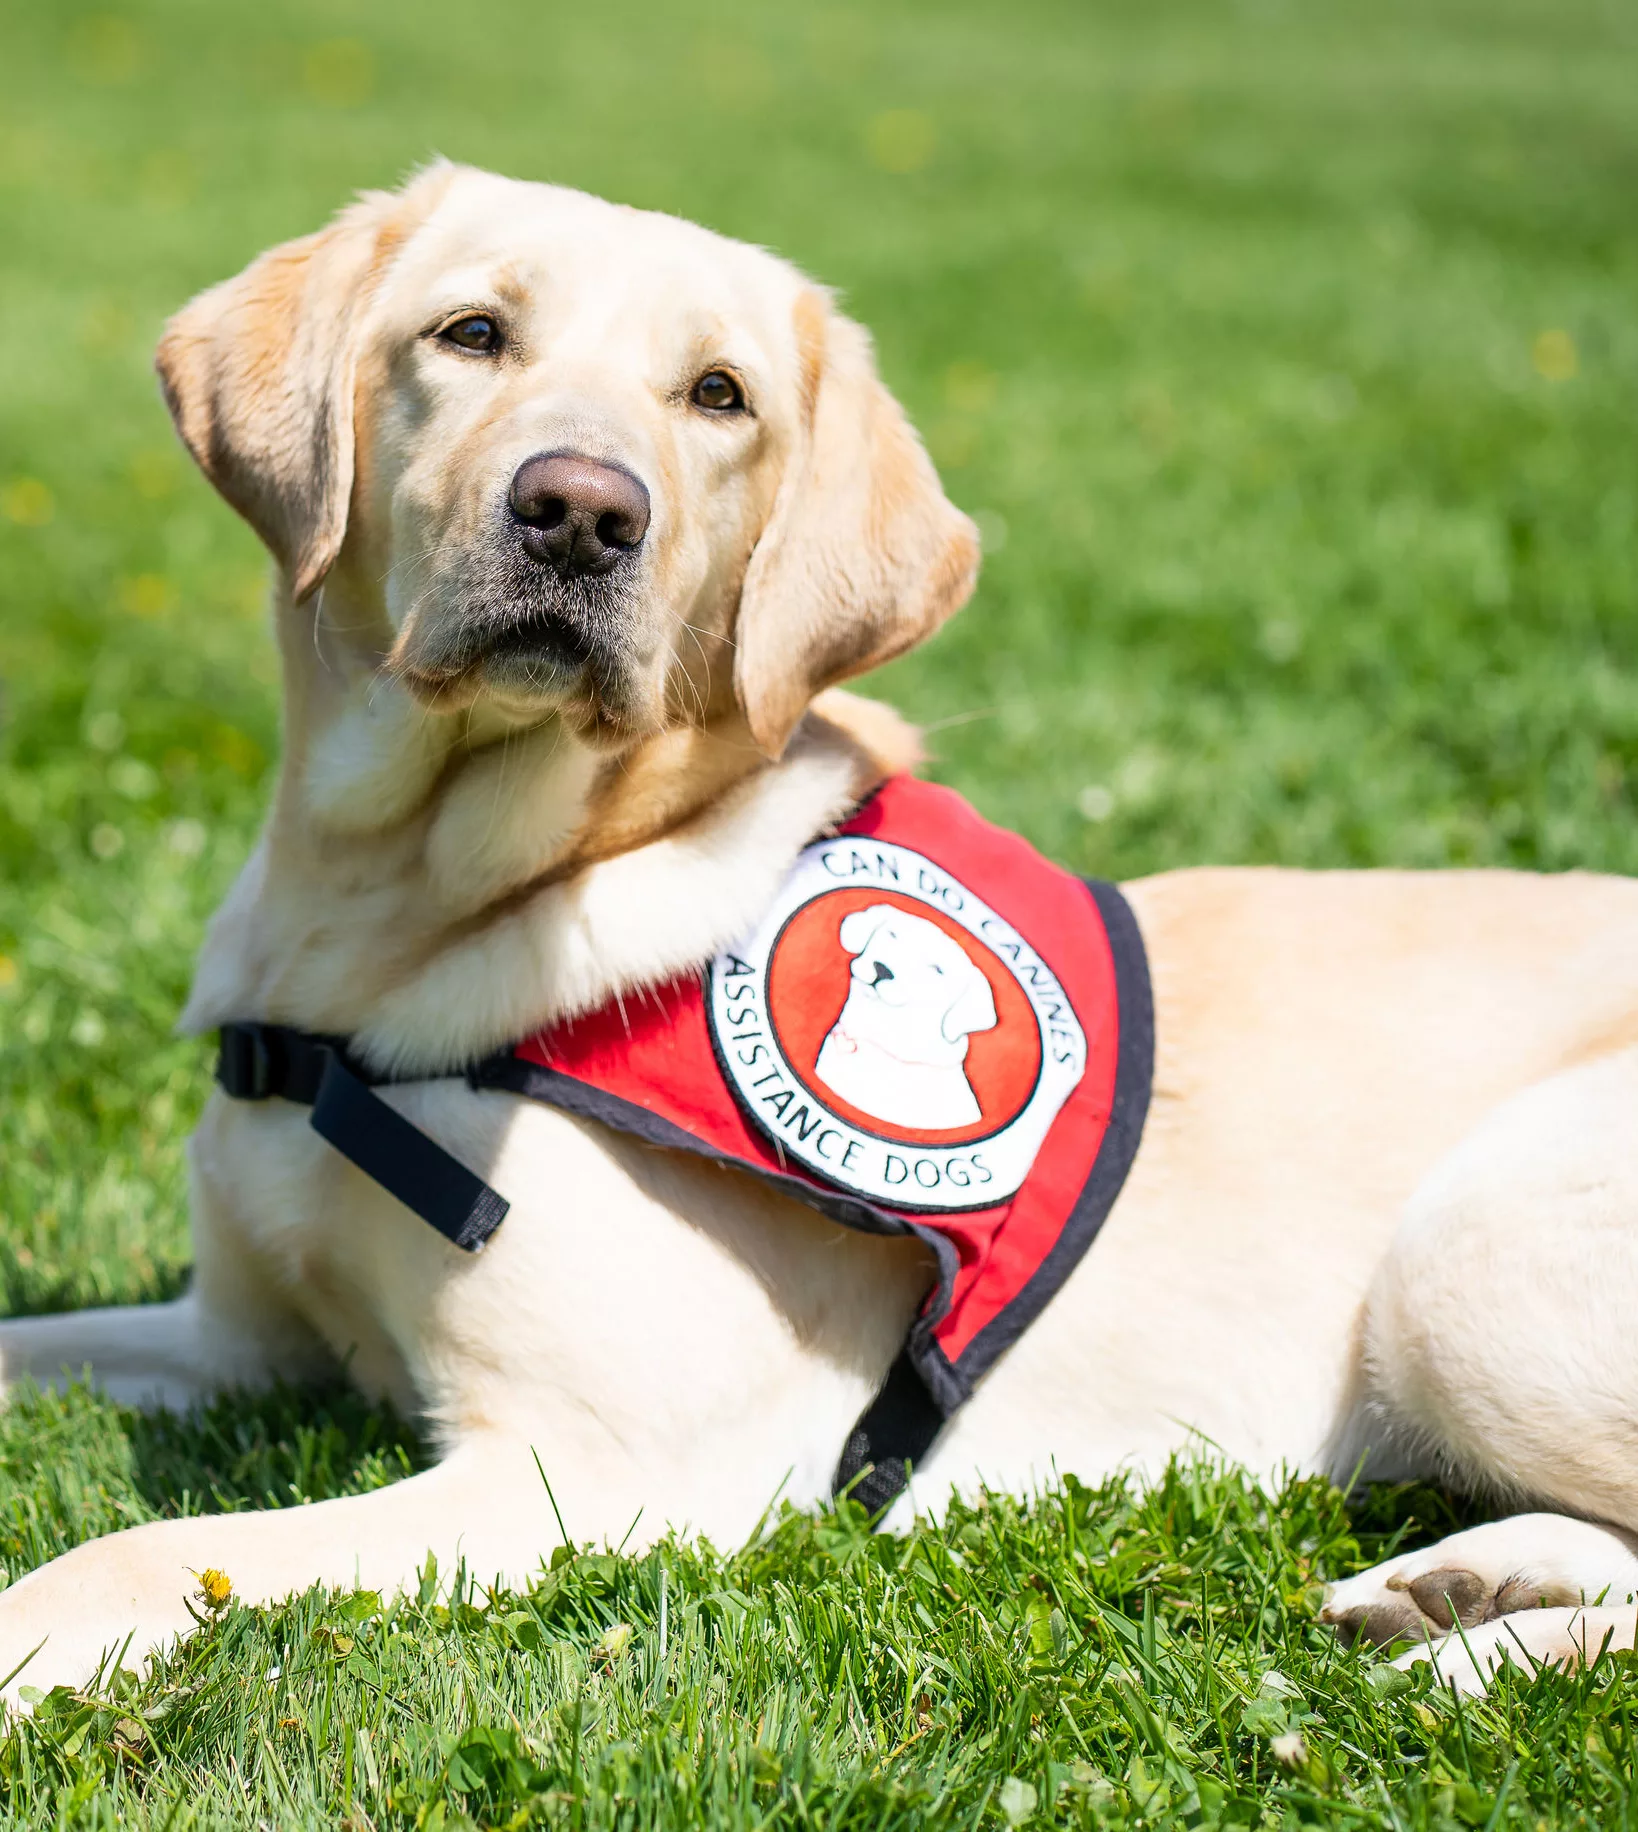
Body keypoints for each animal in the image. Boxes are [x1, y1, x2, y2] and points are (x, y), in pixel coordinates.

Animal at [3, 164, 1638, 1692]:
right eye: (470, 334)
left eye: (716, 395)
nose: (582, 512)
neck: (388, 921)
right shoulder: (236, 1338)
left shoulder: (588, 1466)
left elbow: (148, 1550)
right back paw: (1464, 1582)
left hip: (1461, 1251)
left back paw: (1483, 1653)